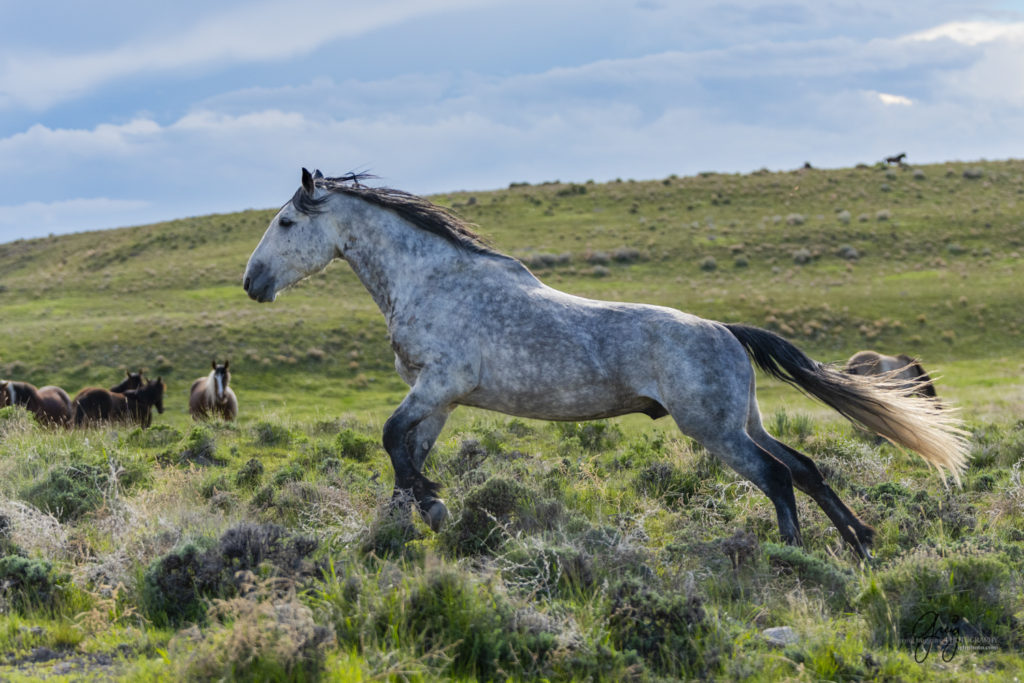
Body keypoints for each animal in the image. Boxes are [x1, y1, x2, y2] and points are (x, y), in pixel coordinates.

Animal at [241, 167, 966, 557]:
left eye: (285, 223)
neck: (435, 282)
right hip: (742, 421)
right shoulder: (437, 397)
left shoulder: (442, 383)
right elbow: (404, 454)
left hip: (714, 430)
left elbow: (394, 440)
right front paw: (408, 524)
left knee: (778, 476)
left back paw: (793, 554)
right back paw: (861, 542)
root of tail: (726, 331)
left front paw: (436, 508)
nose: (251, 283)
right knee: (807, 467)